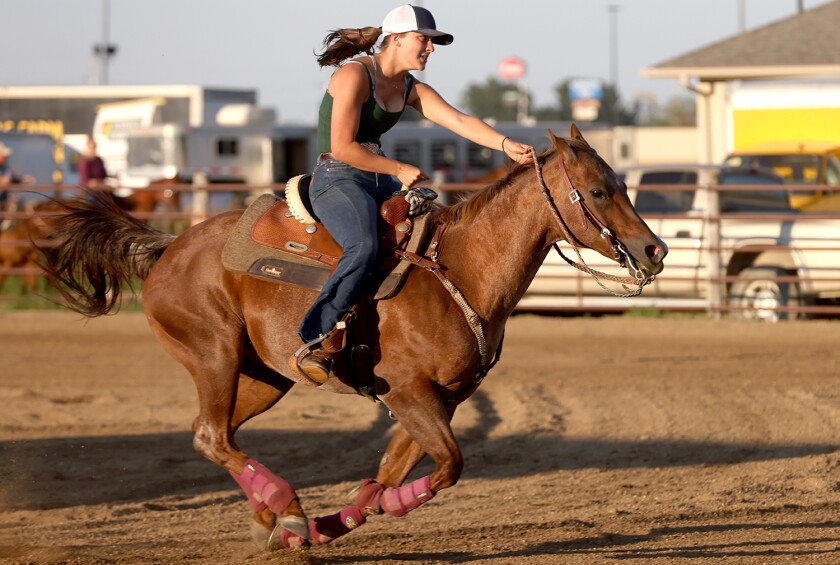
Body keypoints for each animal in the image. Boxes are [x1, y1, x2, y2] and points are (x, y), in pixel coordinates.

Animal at [38, 126, 667, 550]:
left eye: (619, 183)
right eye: (599, 190)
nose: (654, 249)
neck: (460, 269)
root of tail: (168, 247)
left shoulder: (438, 400)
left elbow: (391, 472)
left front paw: (333, 523)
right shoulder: (410, 394)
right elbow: (447, 466)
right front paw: (363, 511)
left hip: (264, 377)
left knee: (215, 435)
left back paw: (276, 521)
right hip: (212, 355)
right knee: (210, 435)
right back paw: (287, 509)